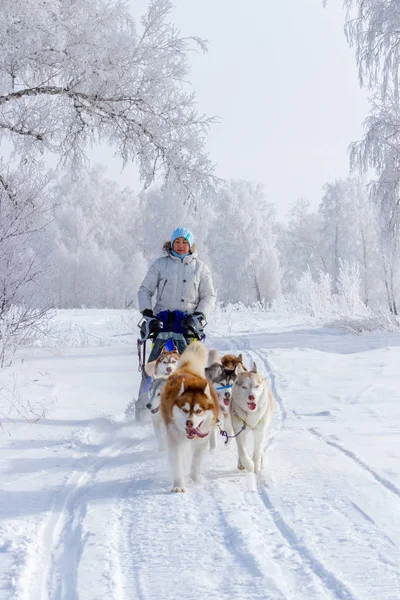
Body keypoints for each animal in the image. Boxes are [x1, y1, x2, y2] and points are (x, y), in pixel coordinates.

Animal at [160, 342, 219, 492]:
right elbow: (176, 462)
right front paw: (178, 485)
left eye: (199, 411)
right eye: (184, 410)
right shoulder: (173, 439)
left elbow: (196, 460)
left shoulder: (202, 440)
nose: (189, 423)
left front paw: (194, 478)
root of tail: (187, 369)